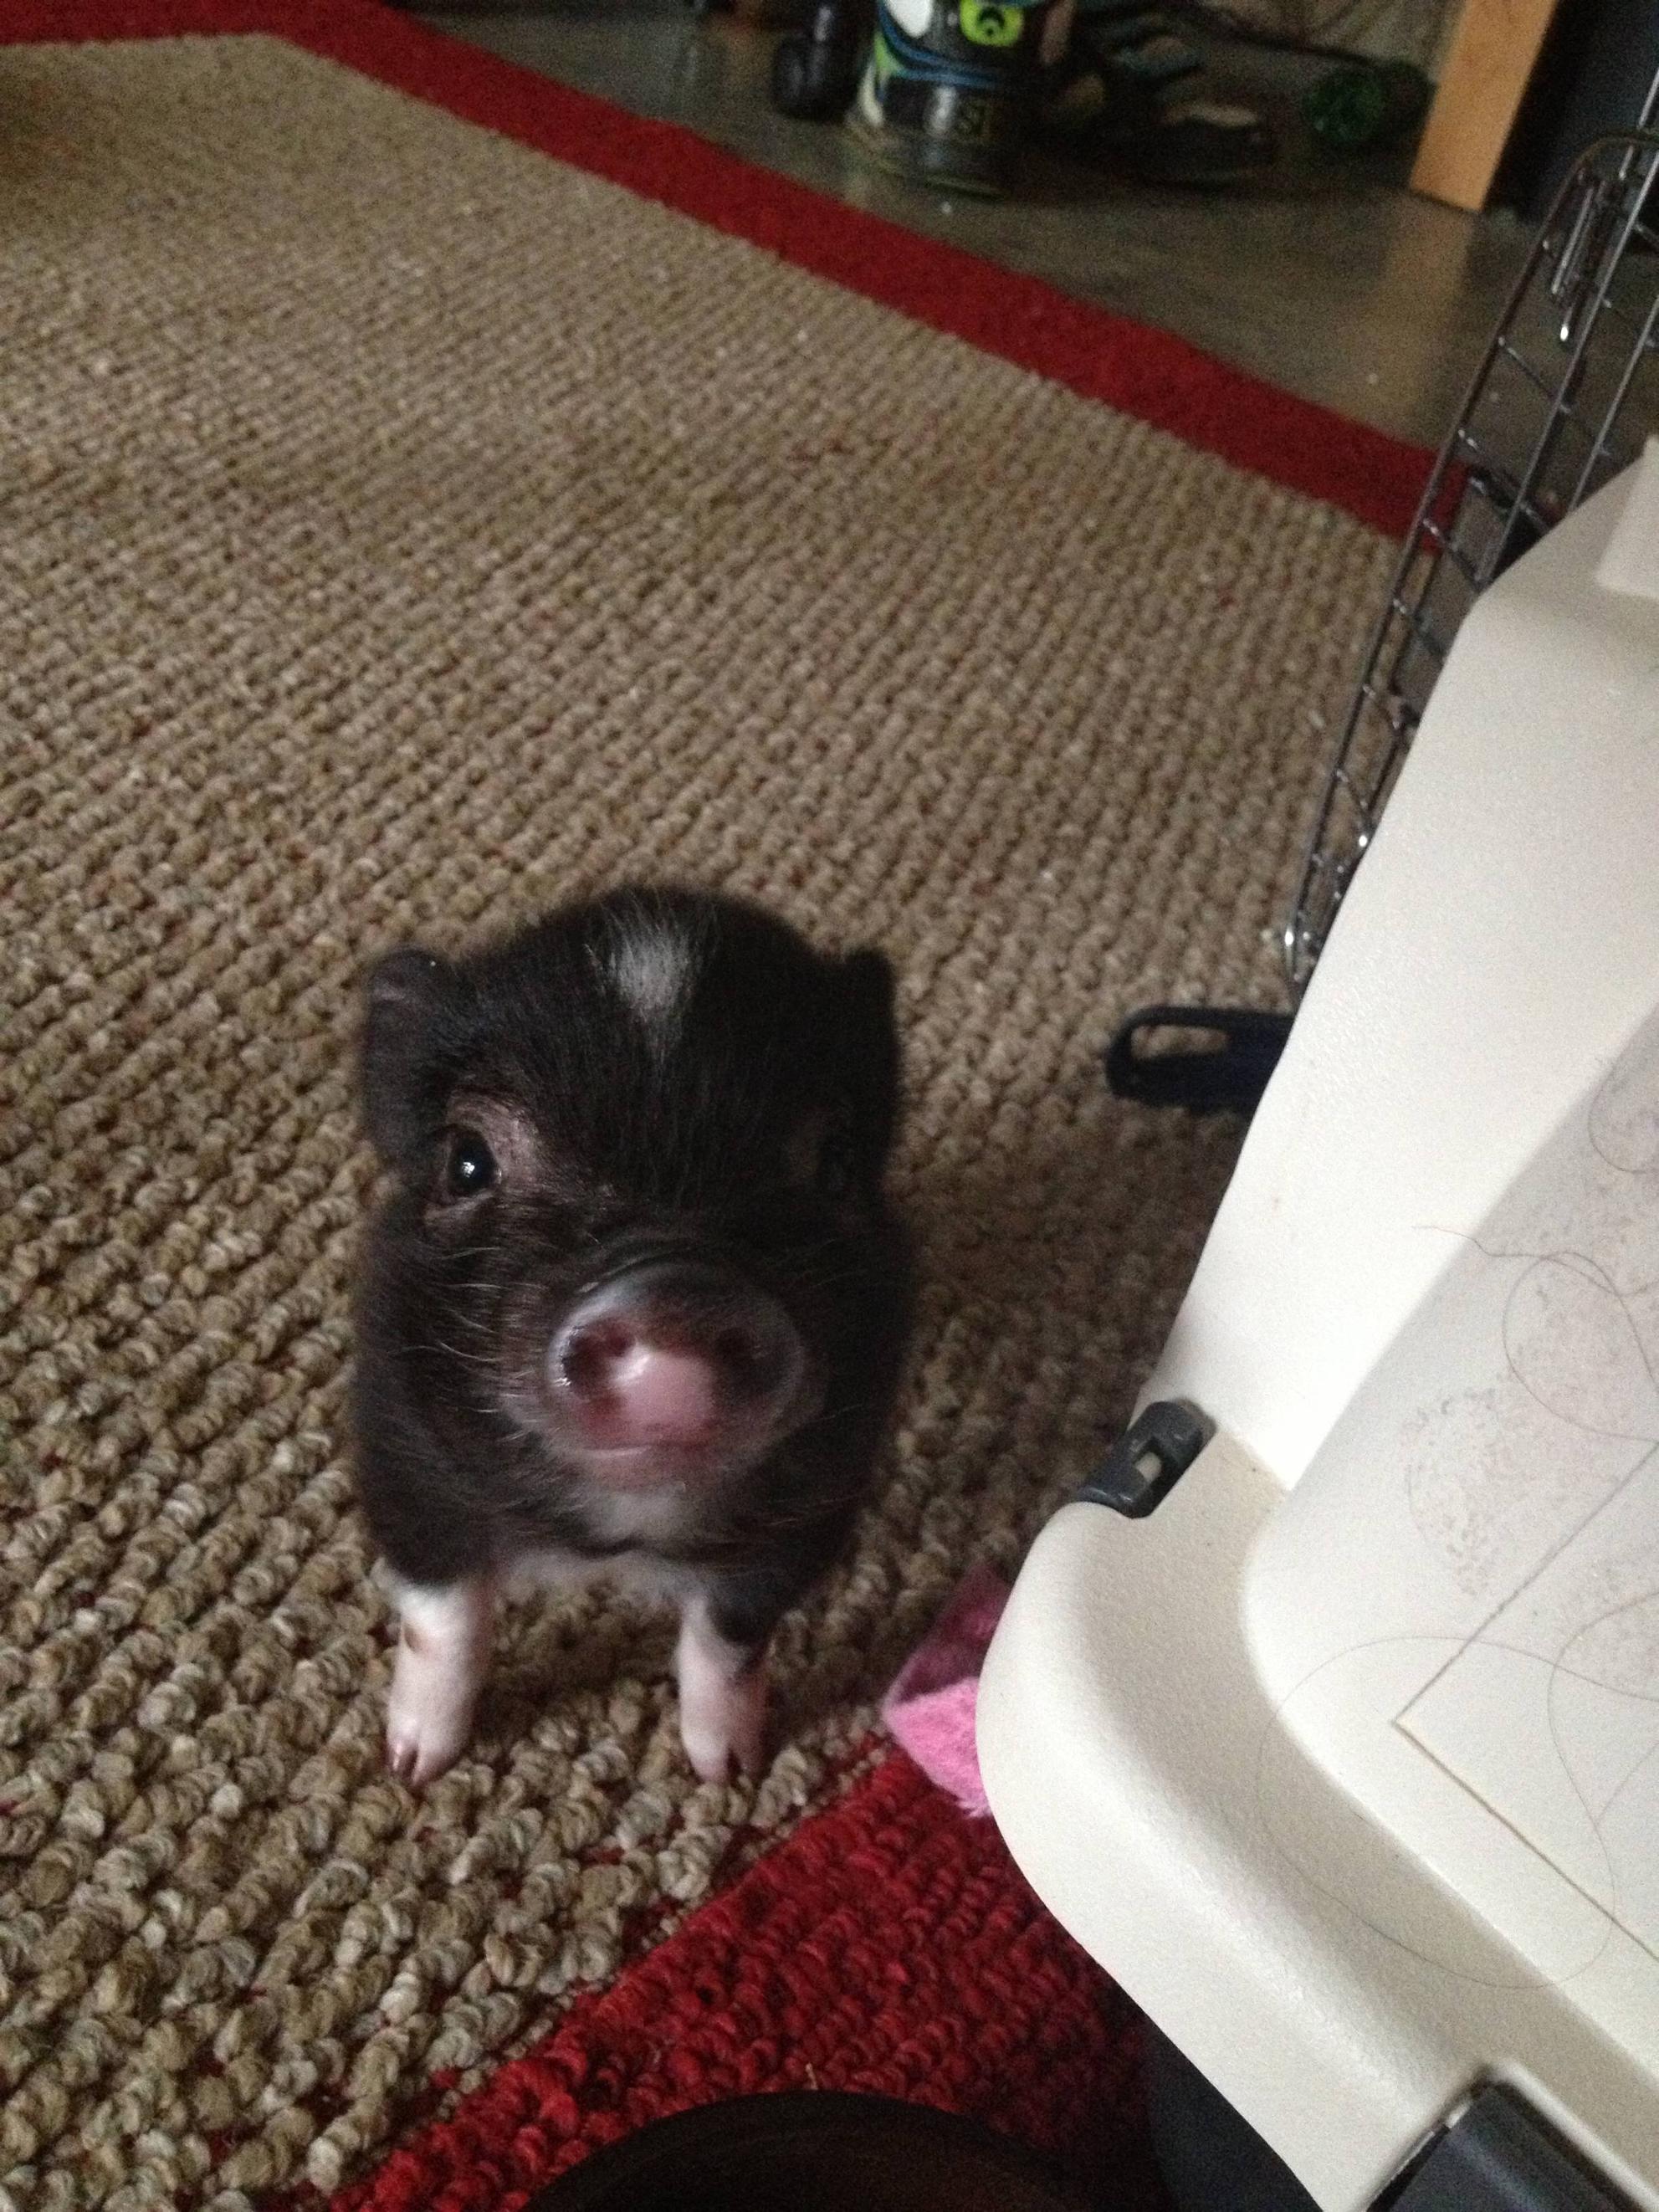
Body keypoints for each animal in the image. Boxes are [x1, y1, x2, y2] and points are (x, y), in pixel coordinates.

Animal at [351, 884, 914, 1788]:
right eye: (468, 1160)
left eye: (834, 1166)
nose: (672, 1295)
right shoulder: (405, 1457)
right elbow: (444, 1621)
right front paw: (413, 1768)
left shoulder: (815, 1506)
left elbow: (730, 1638)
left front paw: (728, 1771)